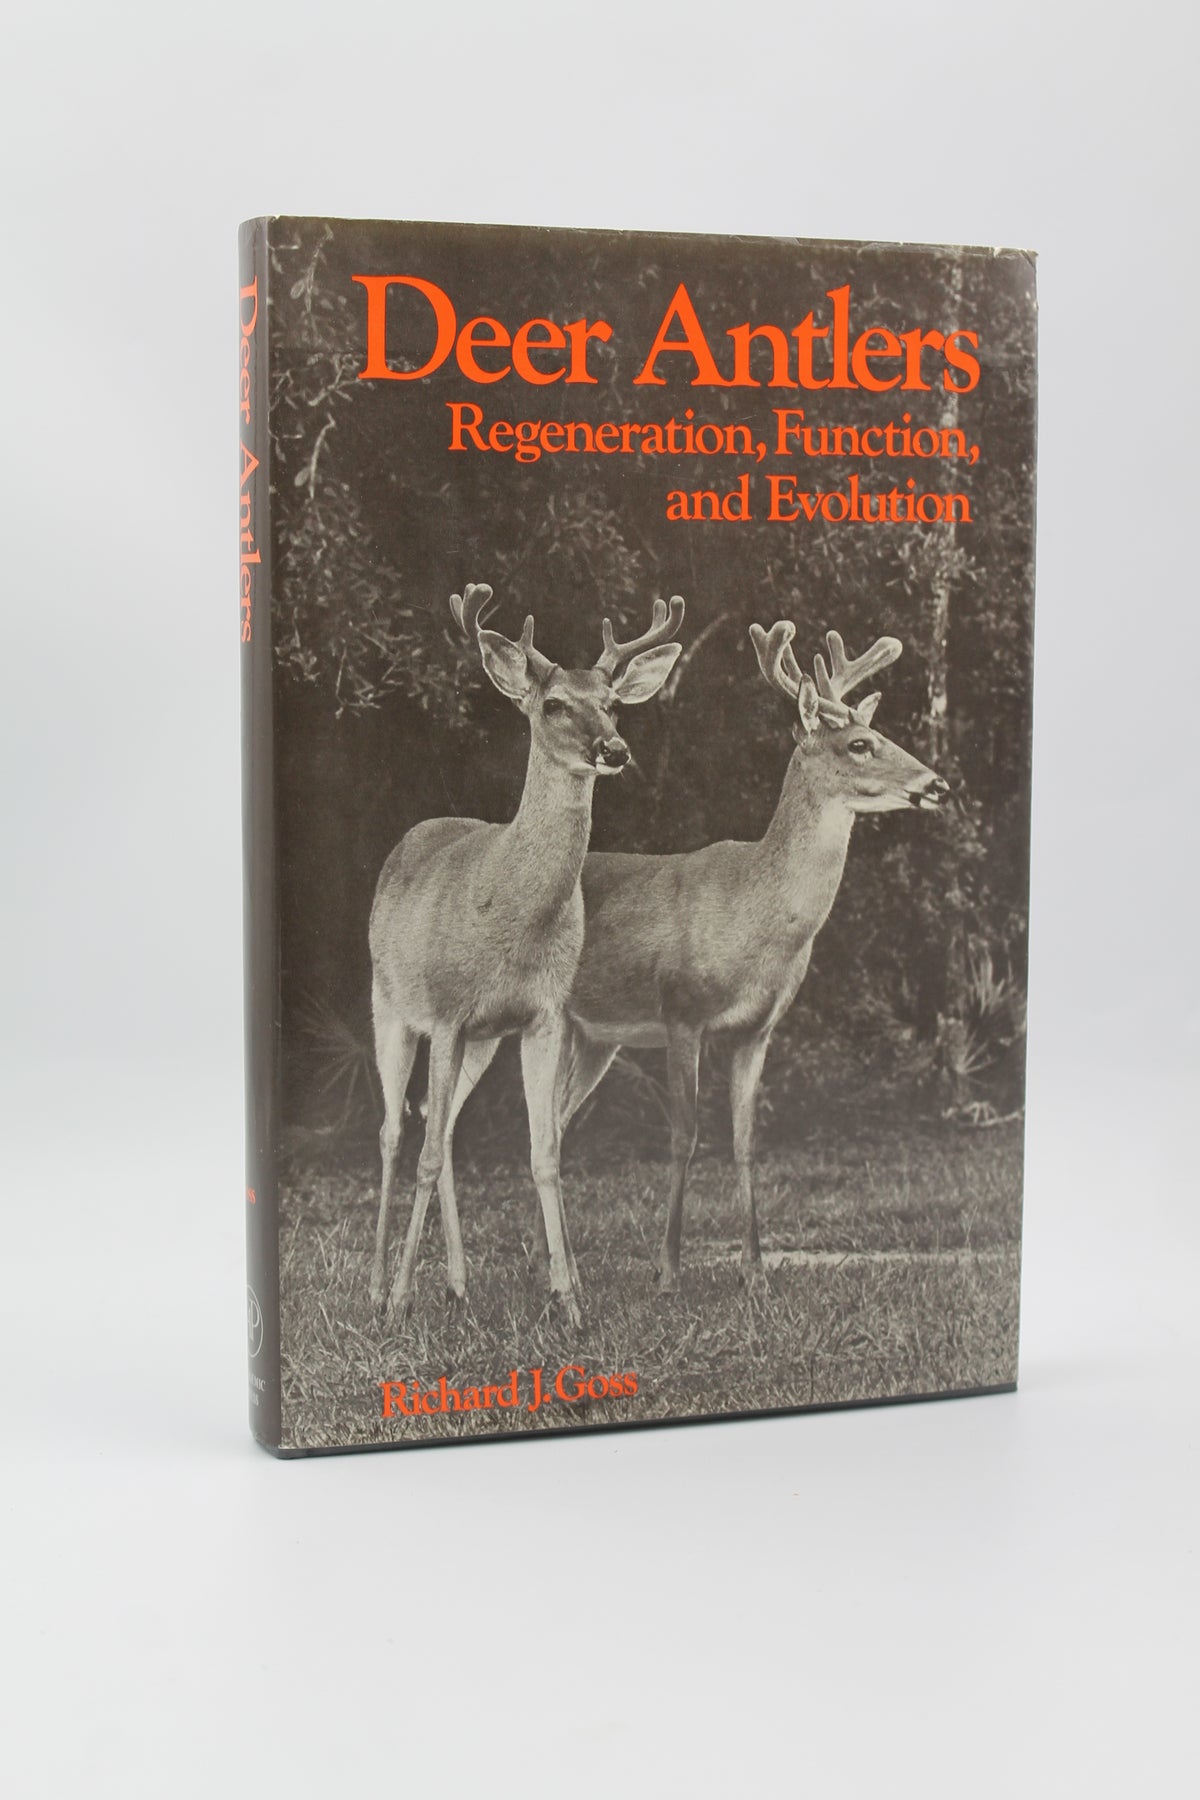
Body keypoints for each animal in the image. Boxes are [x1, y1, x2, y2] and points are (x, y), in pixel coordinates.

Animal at [368, 582, 684, 1325]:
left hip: (481, 1040)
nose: (614, 749)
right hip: (388, 1005)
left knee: (444, 1127)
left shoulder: (540, 1017)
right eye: (554, 704)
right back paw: (376, 1285)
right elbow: (423, 1156)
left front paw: (570, 1303)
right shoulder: (447, 1013)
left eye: (614, 700)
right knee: (396, 1131)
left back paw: (457, 1284)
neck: (512, 918)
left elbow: (544, 1152)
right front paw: (399, 1304)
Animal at [434, 618, 948, 1292]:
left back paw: (551, 1267)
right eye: (860, 743)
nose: (938, 784)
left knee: (554, 1126)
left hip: (590, 1037)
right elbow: (684, 1135)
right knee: (446, 1113)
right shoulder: (682, 1011)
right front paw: (669, 1270)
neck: (757, 916)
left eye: (881, 735)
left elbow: (746, 1141)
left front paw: (756, 1272)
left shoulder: (759, 1029)